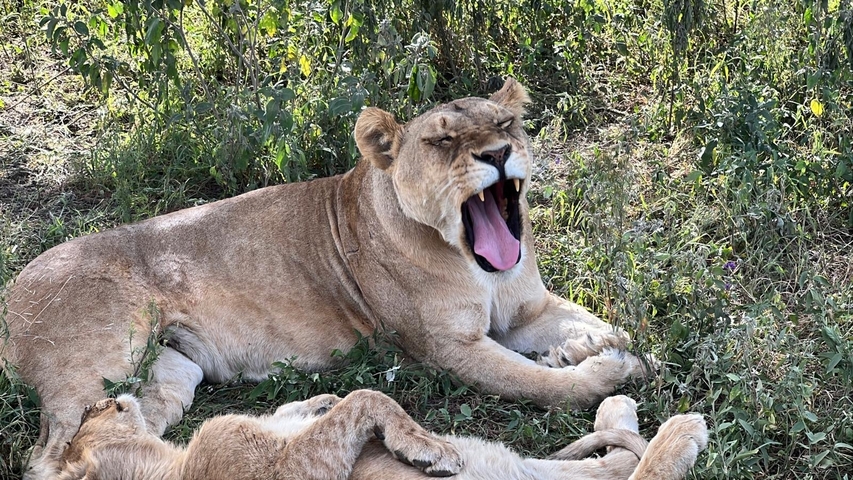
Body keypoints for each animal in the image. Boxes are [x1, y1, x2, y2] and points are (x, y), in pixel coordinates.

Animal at [3, 78, 646, 478]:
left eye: (507, 122)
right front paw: (606, 371)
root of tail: (11, 290)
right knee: (50, 457)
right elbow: (540, 384)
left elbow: (584, 323)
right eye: (442, 141)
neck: (476, 263)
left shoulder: (528, 310)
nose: (497, 153)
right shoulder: (448, 348)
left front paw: (595, 344)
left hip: (169, 376)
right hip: (95, 371)